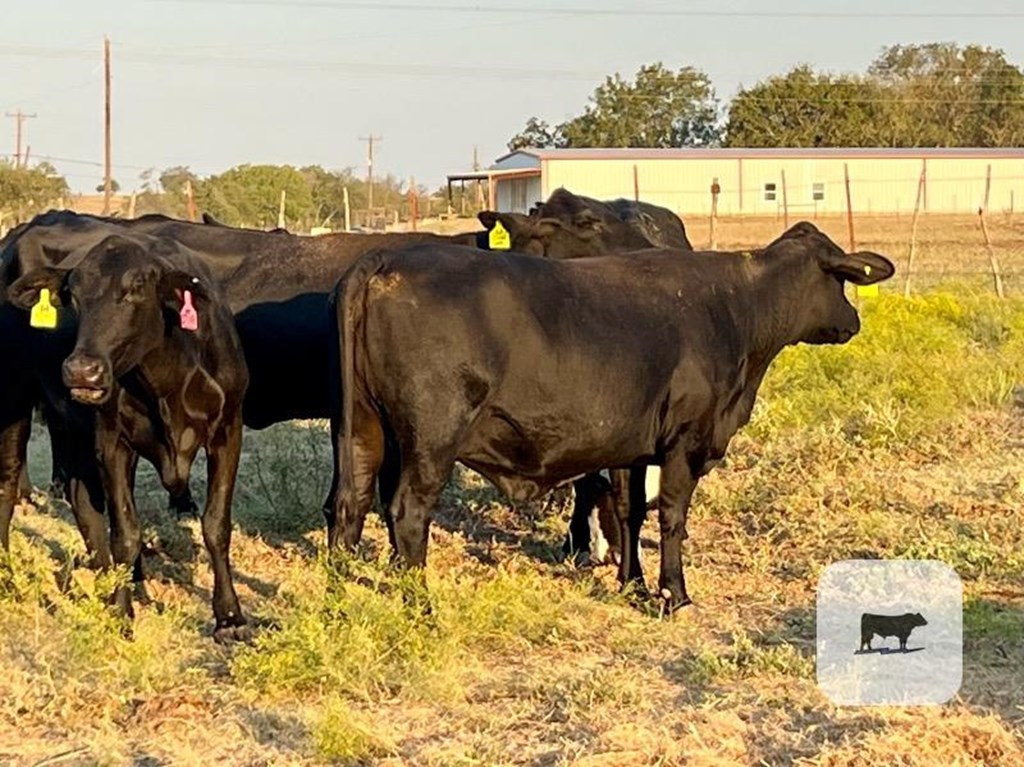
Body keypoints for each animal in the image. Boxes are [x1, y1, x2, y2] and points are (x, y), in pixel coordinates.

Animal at [8, 231, 249, 634]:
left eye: (136, 288)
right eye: (74, 294)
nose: (81, 371)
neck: (169, 381)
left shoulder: (228, 431)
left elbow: (216, 525)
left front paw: (229, 616)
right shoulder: (111, 442)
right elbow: (124, 533)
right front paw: (121, 612)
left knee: (83, 503)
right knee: (8, 487)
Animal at [329, 223, 897, 610]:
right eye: (841, 281)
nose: (852, 321)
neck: (734, 306)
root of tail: (385, 259)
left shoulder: (631, 444)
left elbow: (629, 512)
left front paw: (633, 584)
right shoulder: (685, 441)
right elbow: (672, 517)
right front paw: (674, 593)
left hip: (363, 427)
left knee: (349, 502)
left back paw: (339, 590)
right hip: (431, 438)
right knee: (407, 512)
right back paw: (419, 602)